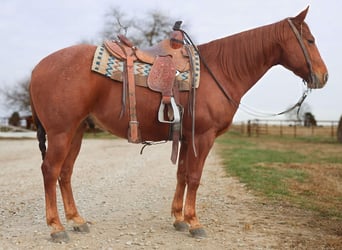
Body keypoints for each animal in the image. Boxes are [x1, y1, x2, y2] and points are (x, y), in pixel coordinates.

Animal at [29, 7, 328, 242]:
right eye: (310, 40)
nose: (323, 76)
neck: (220, 70)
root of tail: (37, 67)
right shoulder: (203, 137)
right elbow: (194, 177)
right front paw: (194, 222)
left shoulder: (186, 138)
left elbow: (182, 174)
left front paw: (178, 218)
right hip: (61, 132)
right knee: (50, 171)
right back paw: (56, 227)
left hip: (76, 131)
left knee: (65, 173)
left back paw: (77, 220)